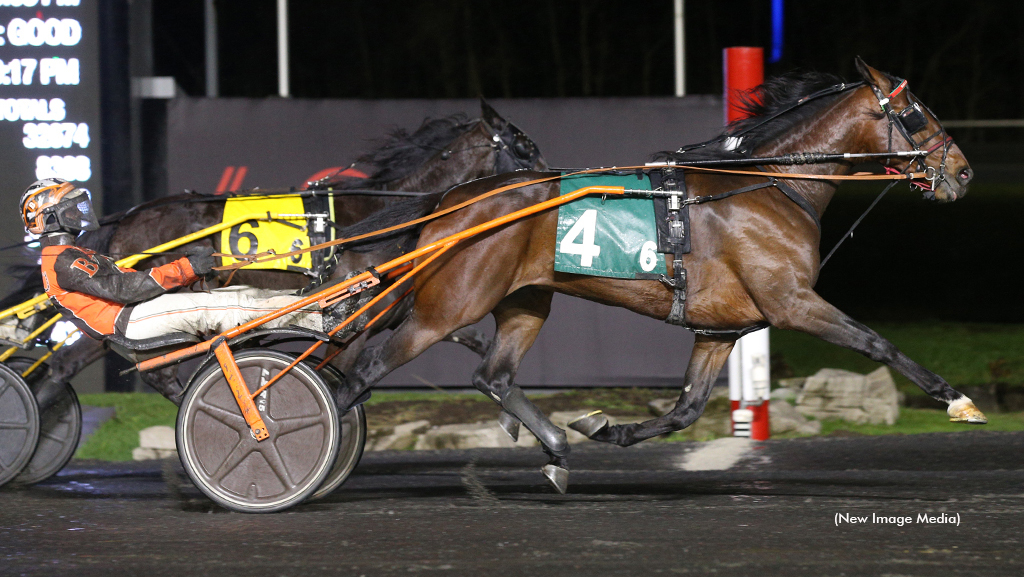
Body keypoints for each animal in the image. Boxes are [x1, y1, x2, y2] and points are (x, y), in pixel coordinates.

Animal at [8, 101, 548, 403]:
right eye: (524, 146)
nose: (547, 180)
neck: (380, 213)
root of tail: (128, 219)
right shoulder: (356, 308)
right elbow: (342, 366)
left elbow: (463, 336)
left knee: (72, 363)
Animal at [331, 59, 978, 491]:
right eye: (916, 113)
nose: (963, 172)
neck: (769, 185)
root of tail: (450, 199)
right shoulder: (791, 301)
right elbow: (875, 342)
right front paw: (958, 401)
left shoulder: (720, 330)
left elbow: (685, 409)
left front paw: (604, 429)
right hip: (446, 308)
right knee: (360, 374)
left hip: (525, 301)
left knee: (491, 376)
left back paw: (557, 448)